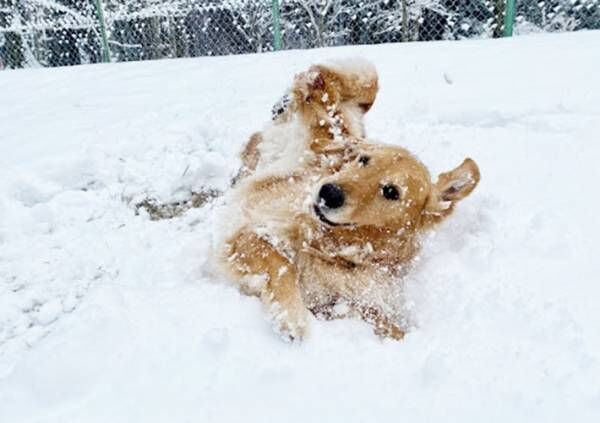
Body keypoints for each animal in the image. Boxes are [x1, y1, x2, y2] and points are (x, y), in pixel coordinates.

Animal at [218, 61, 480, 342]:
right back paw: (292, 97)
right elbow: (282, 264)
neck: (334, 248)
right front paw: (292, 318)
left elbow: (381, 321)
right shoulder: (244, 233)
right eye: (363, 160)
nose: (328, 192)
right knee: (341, 78)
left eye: (391, 192)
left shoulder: (339, 301)